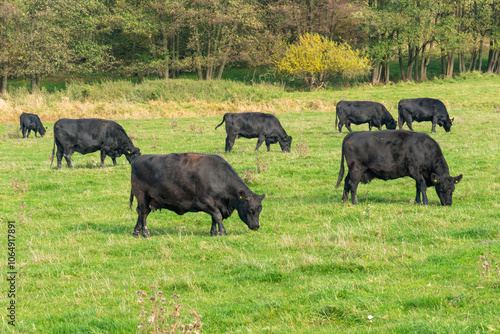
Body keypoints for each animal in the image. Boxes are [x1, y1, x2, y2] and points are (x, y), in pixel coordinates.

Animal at [129, 153, 266, 236]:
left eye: (260, 210)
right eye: (250, 210)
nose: (256, 226)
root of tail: (138, 159)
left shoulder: (215, 204)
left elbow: (214, 218)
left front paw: (213, 232)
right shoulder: (204, 202)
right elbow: (218, 216)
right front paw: (222, 232)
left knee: (141, 213)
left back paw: (136, 232)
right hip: (143, 196)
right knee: (143, 213)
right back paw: (145, 233)